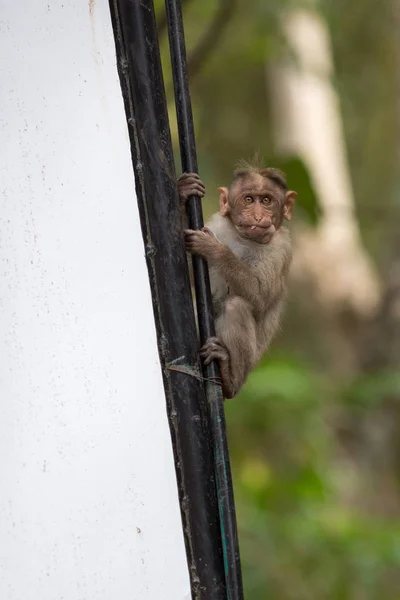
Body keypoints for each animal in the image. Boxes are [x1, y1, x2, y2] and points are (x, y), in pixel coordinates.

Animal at [177, 162, 296, 400]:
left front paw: (215, 250)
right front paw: (185, 192)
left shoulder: (281, 250)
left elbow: (259, 300)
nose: (258, 217)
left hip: (249, 365)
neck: (244, 239)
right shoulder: (218, 224)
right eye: (249, 199)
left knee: (236, 306)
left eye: (267, 201)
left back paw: (228, 377)